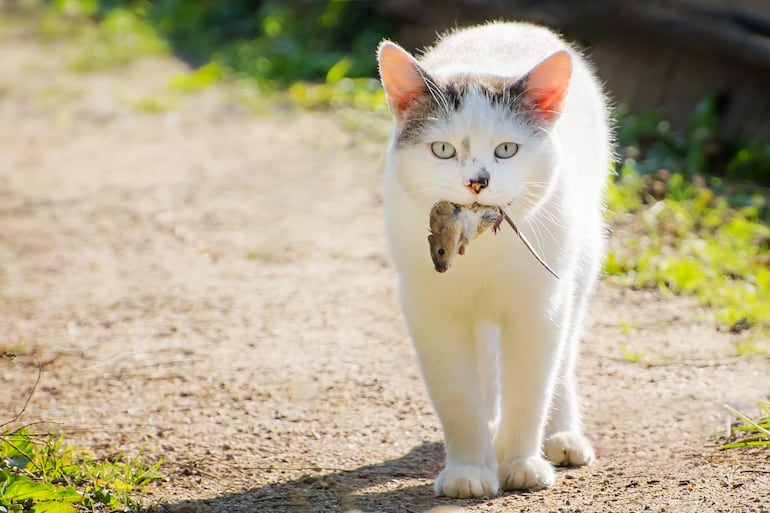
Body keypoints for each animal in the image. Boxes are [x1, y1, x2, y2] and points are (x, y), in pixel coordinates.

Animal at [376, 22, 608, 498]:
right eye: (443, 150)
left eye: (505, 151)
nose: (477, 181)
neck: (480, 245)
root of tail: (511, 25)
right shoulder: (432, 311)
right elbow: (458, 397)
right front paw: (469, 469)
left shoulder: (540, 308)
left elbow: (532, 386)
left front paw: (520, 462)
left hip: (581, 264)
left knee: (562, 359)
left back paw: (561, 435)